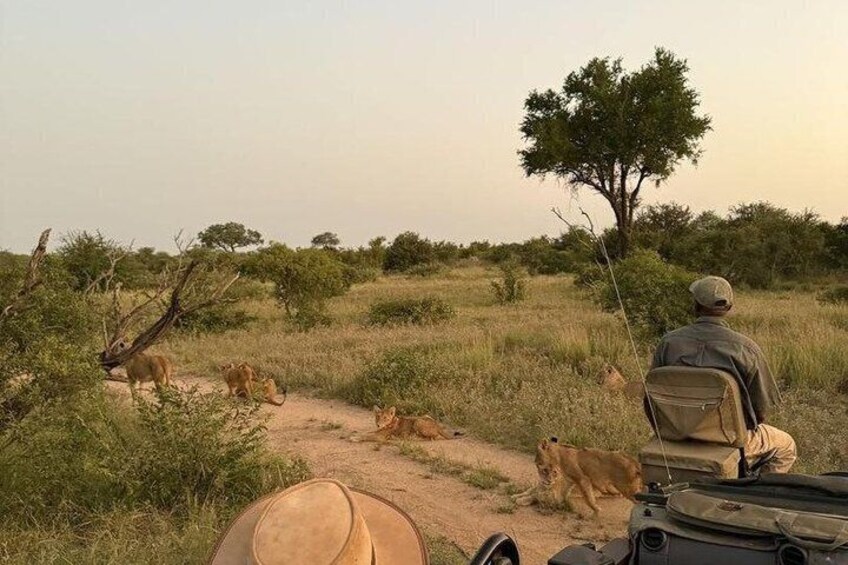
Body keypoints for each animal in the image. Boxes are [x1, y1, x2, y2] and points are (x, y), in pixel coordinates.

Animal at [511, 437, 642, 517]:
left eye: (537, 456)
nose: (535, 463)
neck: (559, 458)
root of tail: (634, 461)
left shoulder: (582, 479)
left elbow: (588, 499)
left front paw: (596, 511)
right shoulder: (569, 482)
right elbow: (533, 492)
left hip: (628, 488)